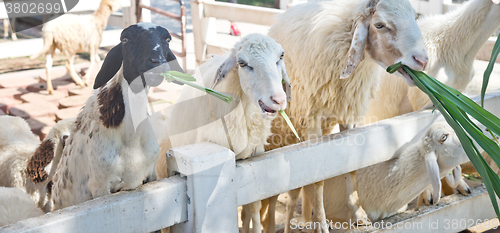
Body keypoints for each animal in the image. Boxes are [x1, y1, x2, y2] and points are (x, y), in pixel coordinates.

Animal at [49, 23, 184, 211]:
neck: (131, 138)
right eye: (125, 40)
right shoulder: (100, 186)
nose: (157, 64)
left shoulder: (150, 175)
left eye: (168, 39)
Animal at [264, 0, 428, 230]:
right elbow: (319, 177)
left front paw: (358, 214)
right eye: (379, 25)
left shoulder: (348, 117)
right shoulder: (311, 119)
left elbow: (349, 167)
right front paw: (321, 224)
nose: (422, 61)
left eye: (415, 17)